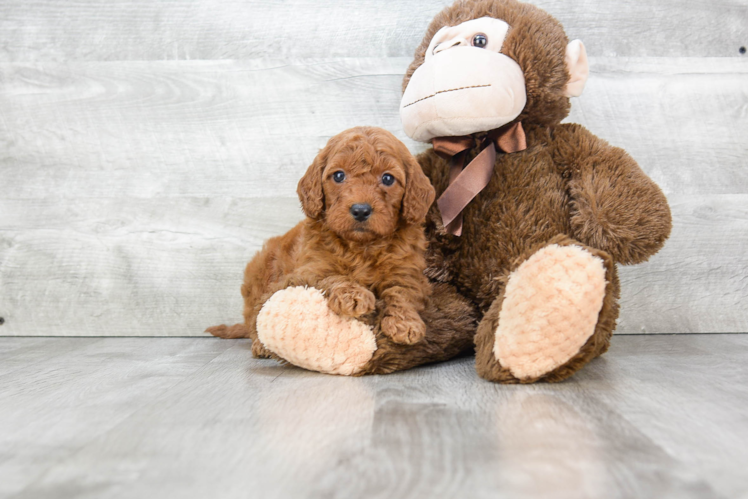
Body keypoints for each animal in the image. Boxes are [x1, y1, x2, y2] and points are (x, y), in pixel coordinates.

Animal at [207, 127, 436, 358]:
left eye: (388, 178)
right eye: (339, 175)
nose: (361, 210)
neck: (361, 246)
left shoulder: (409, 272)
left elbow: (402, 291)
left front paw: (405, 323)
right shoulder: (307, 270)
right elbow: (331, 276)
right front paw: (352, 295)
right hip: (259, 279)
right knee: (256, 315)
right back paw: (261, 345)